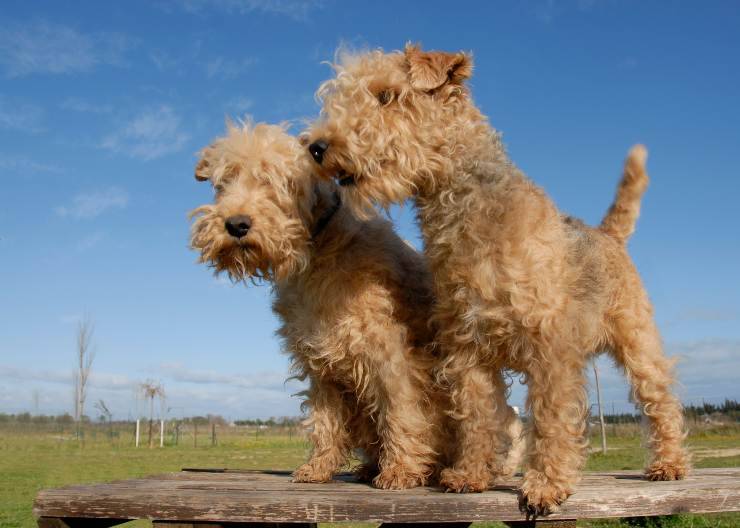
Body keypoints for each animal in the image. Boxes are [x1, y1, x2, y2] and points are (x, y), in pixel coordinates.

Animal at [189, 121, 520, 488]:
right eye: (224, 181)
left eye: (278, 180)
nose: (236, 225)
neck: (318, 251)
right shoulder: (320, 360)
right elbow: (324, 420)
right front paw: (318, 466)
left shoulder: (388, 353)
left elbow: (400, 412)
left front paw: (400, 470)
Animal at [304, 43, 688, 512]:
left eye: (386, 96)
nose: (316, 147)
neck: (468, 216)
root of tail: (607, 235)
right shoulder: (466, 349)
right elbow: (476, 417)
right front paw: (469, 475)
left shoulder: (550, 349)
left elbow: (550, 421)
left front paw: (545, 486)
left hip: (637, 343)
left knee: (661, 402)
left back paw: (669, 465)